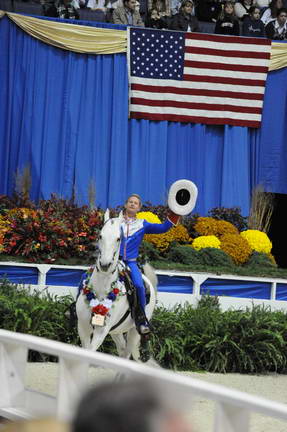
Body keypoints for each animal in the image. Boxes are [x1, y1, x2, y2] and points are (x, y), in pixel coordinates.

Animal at [75, 209, 158, 362]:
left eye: (119, 239)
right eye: (100, 236)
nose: (105, 265)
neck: (101, 289)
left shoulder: (101, 331)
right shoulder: (82, 327)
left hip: (134, 332)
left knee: (127, 352)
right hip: (116, 331)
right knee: (122, 349)